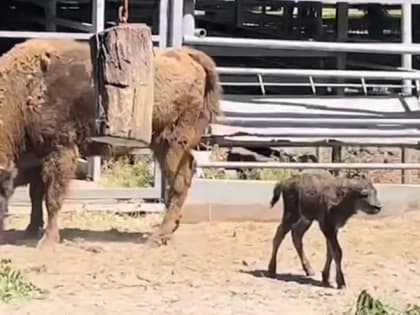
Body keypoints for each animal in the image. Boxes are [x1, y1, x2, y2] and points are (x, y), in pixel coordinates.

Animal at [0, 38, 223, 248]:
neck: (26, 88)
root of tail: (187, 55)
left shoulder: (59, 150)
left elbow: (52, 198)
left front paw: (47, 241)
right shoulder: (38, 155)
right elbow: (36, 195)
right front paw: (30, 230)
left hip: (173, 143)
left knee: (179, 182)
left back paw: (158, 236)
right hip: (163, 145)